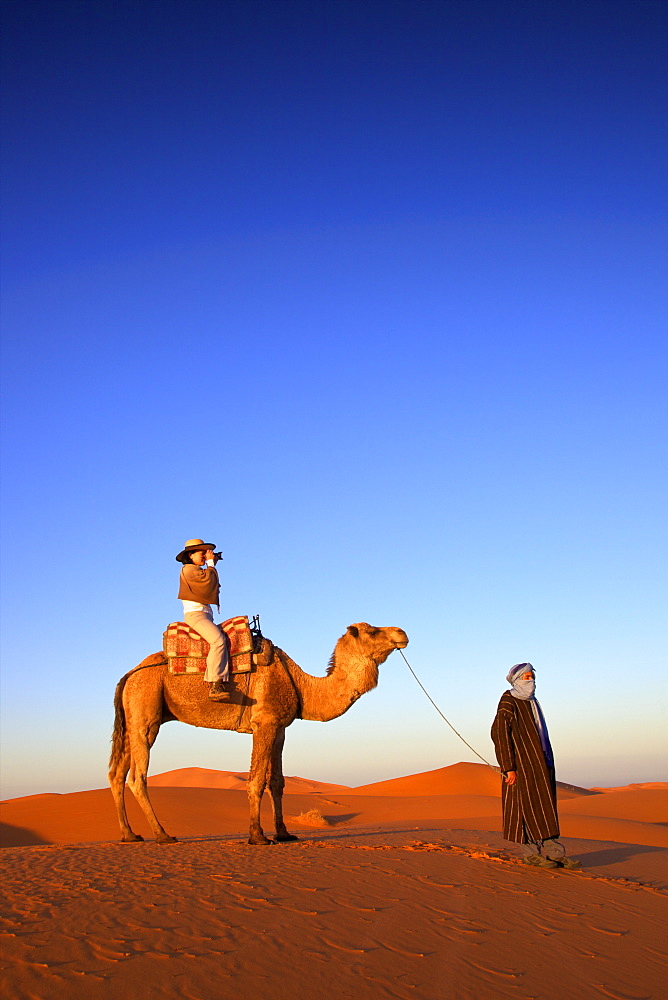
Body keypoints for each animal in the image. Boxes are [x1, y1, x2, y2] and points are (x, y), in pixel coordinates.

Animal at [109, 624, 408, 844]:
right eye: (373, 631)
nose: (402, 633)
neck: (301, 685)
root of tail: (129, 674)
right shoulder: (263, 723)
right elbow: (255, 780)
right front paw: (258, 836)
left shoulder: (280, 728)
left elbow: (277, 782)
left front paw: (285, 833)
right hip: (146, 709)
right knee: (137, 776)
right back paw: (162, 835)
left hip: (133, 716)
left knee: (116, 773)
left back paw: (129, 835)